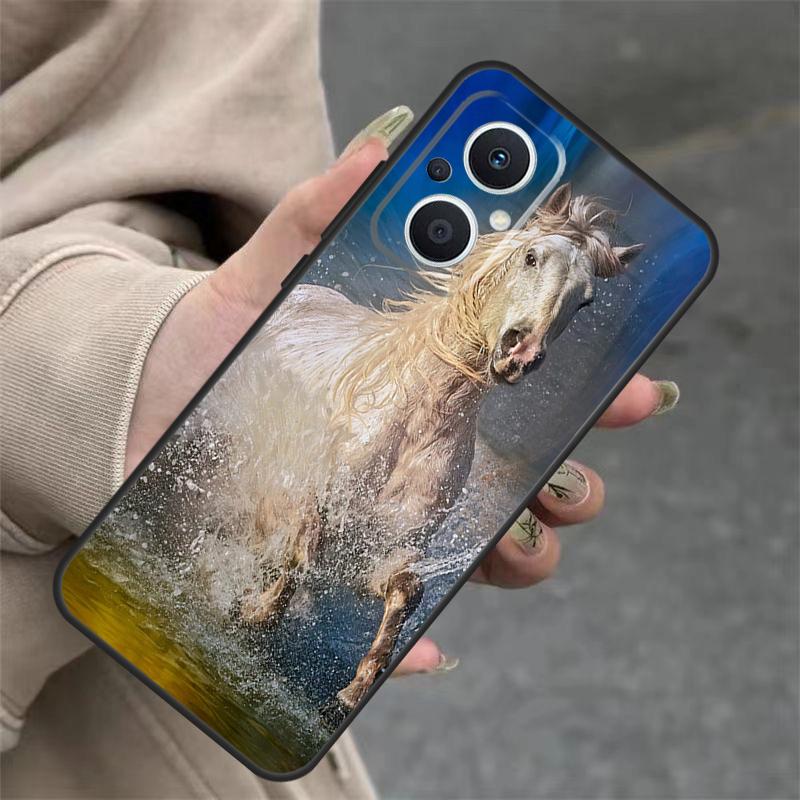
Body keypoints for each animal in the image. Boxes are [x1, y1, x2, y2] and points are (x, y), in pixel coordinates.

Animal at [203, 183, 642, 713]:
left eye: (586, 301)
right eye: (531, 257)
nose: (520, 353)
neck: (414, 423)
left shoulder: (381, 550)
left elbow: (405, 591)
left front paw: (351, 691)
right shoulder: (305, 498)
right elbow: (300, 554)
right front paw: (251, 610)